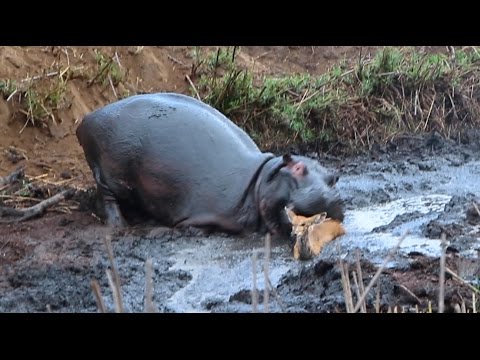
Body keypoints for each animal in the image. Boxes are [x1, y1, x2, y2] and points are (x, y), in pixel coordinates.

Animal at [77, 93, 344, 236]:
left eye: (334, 178)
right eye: (298, 168)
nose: (331, 197)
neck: (259, 181)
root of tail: (87, 119)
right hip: (113, 170)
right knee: (107, 195)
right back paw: (120, 225)